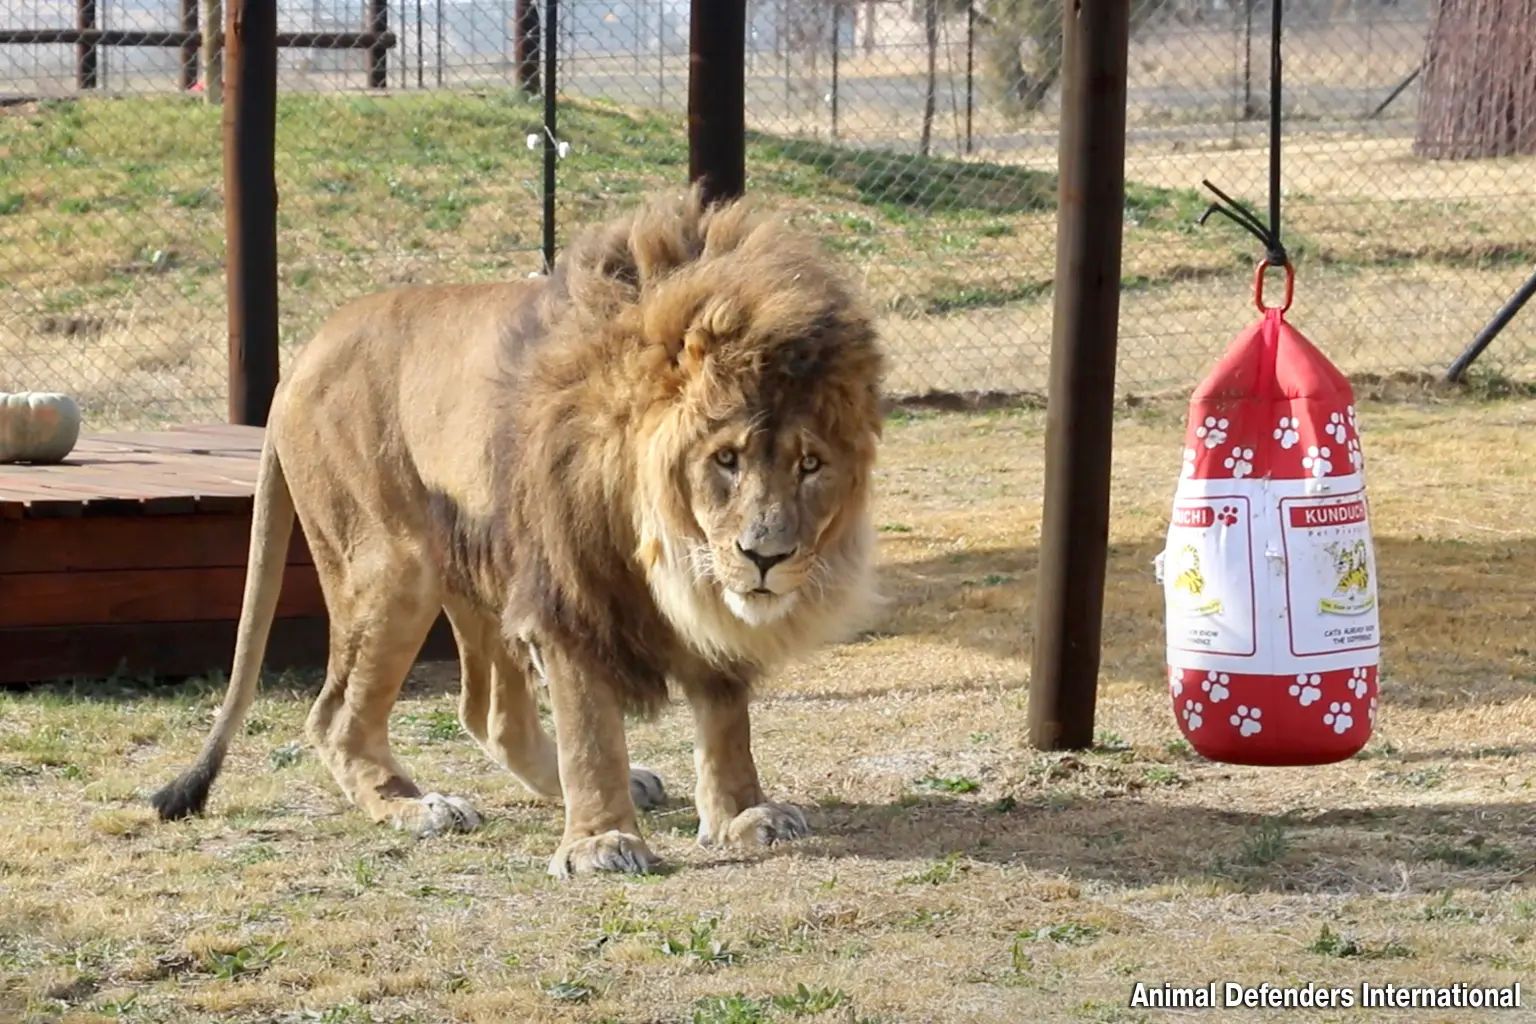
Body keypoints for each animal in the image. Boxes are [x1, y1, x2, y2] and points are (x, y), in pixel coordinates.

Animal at [149, 181, 890, 872]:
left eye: (810, 465)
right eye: (726, 459)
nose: (765, 556)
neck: (662, 538)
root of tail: (305, 355)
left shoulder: (697, 598)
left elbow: (726, 714)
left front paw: (742, 815)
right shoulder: (568, 587)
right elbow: (590, 728)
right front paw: (600, 842)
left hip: (479, 565)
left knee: (489, 711)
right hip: (392, 566)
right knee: (336, 715)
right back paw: (416, 806)